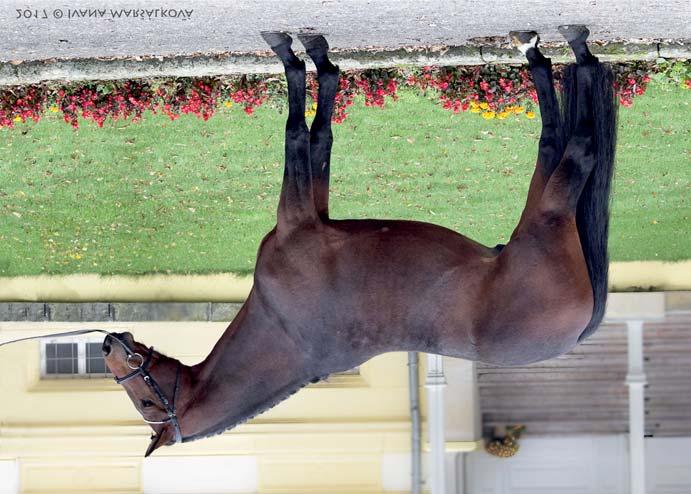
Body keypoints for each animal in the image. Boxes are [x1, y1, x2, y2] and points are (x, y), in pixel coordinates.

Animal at [101, 27, 616, 458]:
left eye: (144, 399)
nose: (107, 343)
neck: (287, 328)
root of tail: (578, 329)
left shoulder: (305, 213)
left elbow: (309, 133)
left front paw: (307, 55)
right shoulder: (303, 216)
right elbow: (307, 133)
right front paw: (306, 55)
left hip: (541, 214)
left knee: (568, 142)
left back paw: (555, 52)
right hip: (543, 215)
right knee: (570, 146)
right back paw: (556, 53)